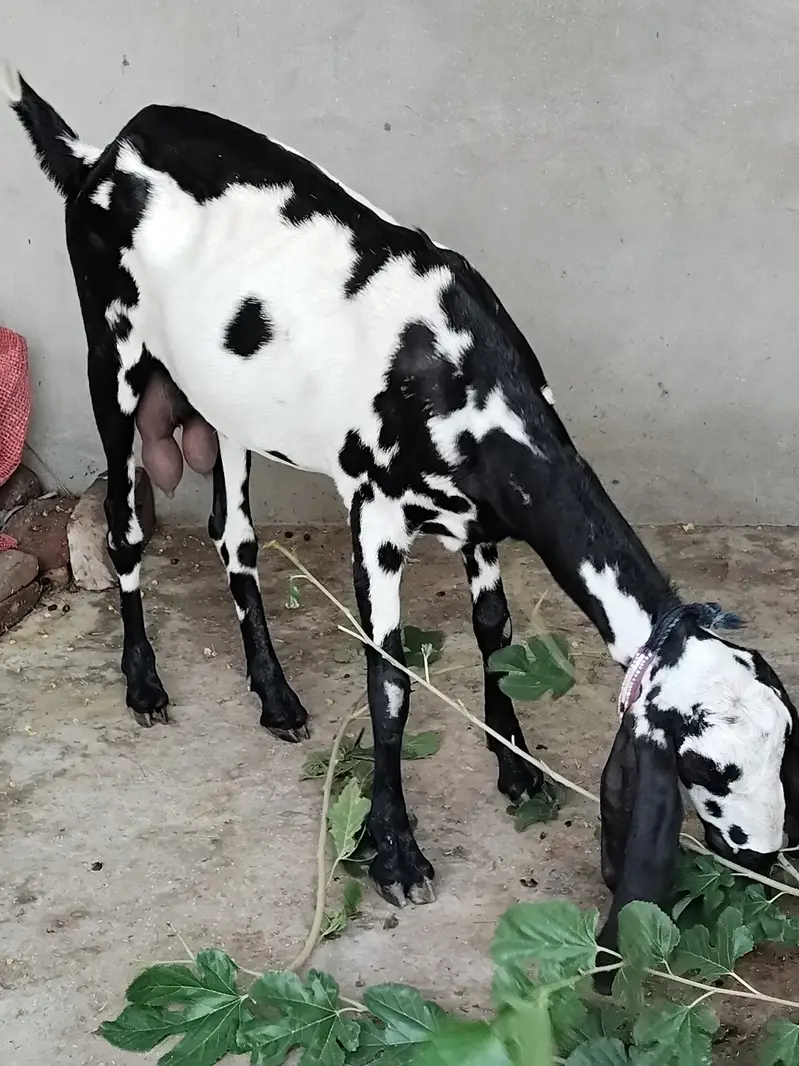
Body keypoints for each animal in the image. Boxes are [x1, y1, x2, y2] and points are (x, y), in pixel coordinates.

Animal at [4, 63, 799, 950]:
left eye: (782, 746)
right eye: (705, 766)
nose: (763, 856)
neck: (455, 371)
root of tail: (99, 154)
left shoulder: (479, 522)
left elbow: (495, 636)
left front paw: (515, 766)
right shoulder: (375, 512)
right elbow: (388, 683)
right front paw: (396, 854)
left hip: (226, 407)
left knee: (233, 538)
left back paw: (275, 697)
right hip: (112, 363)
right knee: (126, 529)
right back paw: (144, 685)